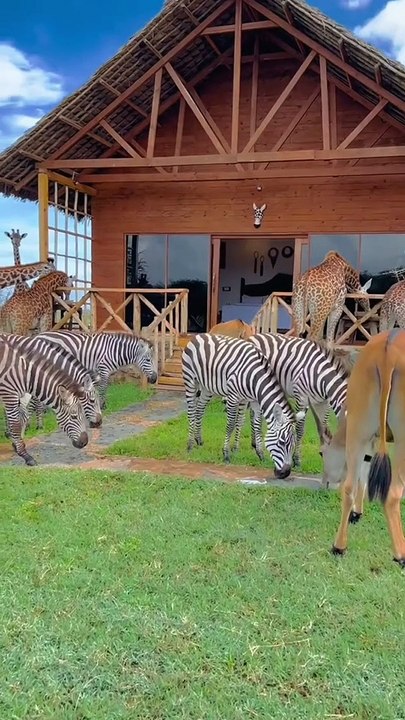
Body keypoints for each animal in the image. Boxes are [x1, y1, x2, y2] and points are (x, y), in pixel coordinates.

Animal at [0, 337, 89, 465]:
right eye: (74, 416)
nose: (85, 442)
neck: (25, 374)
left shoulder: (20, 396)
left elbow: (22, 417)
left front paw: (16, 445)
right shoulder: (9, 394)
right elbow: (15, 424)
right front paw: (26, 456)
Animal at [182, 333, 304, 479]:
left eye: (293, 444)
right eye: (282, 442)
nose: (285, 474)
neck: (255, 378)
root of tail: (199, 335)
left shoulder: (255, 401)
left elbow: (257, 427)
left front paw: (260, 454)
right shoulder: (233, 397)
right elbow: (230, 425)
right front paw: (226, 454)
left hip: (207, 387)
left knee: (199, 409)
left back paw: (199, 440)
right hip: (190, 380)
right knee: (191, 411)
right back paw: (189, 445)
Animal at [246, 333, 357, 466]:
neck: (321, 377)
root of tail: (253, 336)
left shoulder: (322, 403)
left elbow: (323, 426)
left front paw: (325, 452)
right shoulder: (302, 398)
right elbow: (300, 430)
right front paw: (297, 459)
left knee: (252, 413)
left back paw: (253, 443)